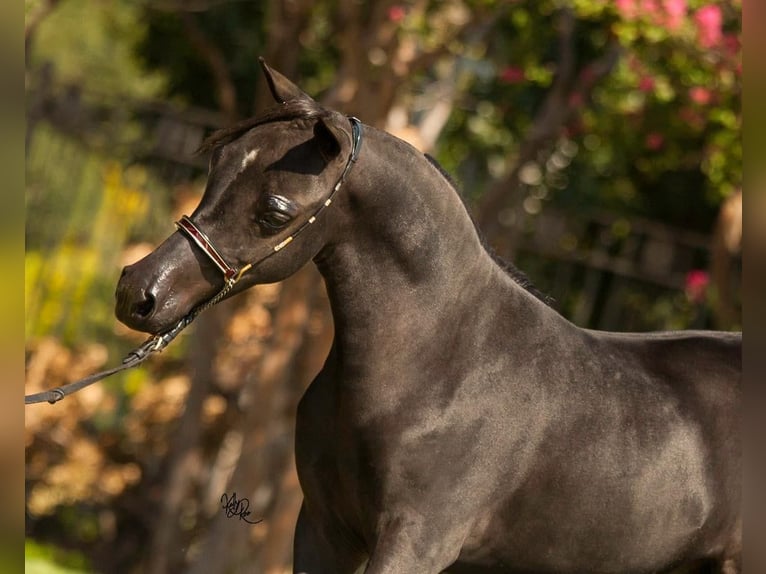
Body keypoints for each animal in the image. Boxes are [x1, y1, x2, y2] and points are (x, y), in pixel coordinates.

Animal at [115, 60, 744, 572]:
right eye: (216, 165)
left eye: (275, 212)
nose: (137, 292)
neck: (443, 364)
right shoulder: (324, 529)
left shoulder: (416, 544)